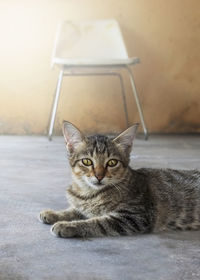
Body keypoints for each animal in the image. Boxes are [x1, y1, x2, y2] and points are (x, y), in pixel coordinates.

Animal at [39, 121, 200, 237]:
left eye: (112, 162)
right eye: (87, 161)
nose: (99, 176)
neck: (89, 193)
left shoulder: (135, 216)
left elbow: (97, 222)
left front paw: (68, 225)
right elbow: (74, 210)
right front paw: (53, 214)